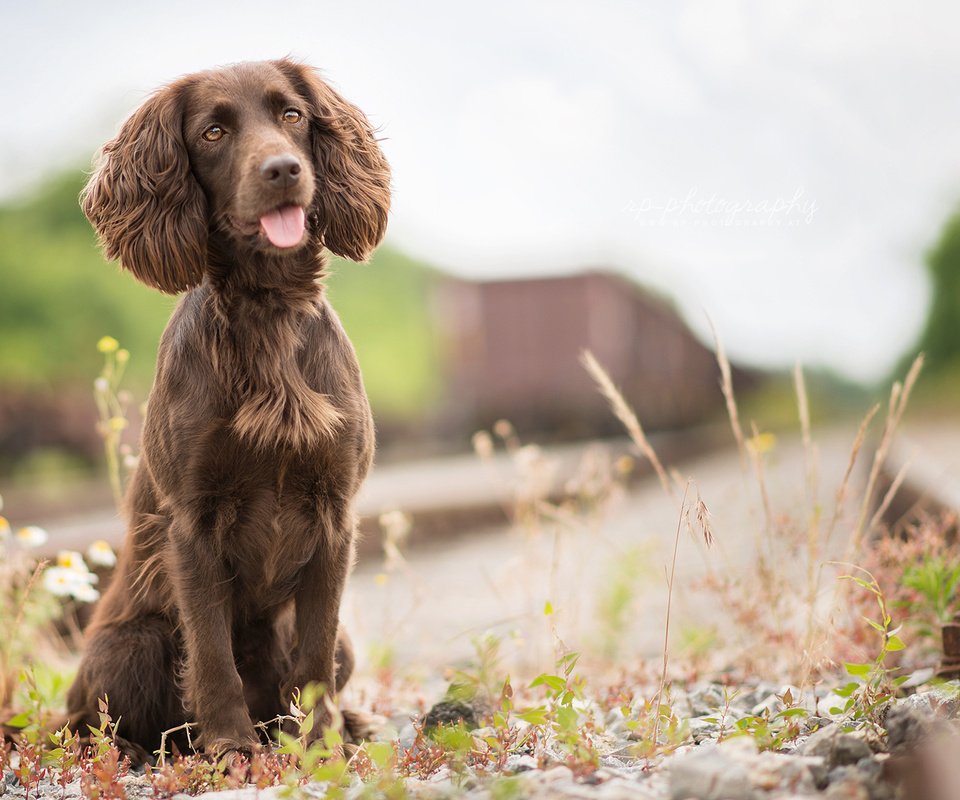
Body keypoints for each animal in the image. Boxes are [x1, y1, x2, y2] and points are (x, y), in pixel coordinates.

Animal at [66, 59, 390, 760]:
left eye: (292, 114)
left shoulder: (334, 515)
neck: (266, 308)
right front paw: (230, 748)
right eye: (213, 132)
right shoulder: (194, 522)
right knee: (90, 722)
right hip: (129, 644)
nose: (283, 170)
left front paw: (320, 745)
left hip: (347, 642)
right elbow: (212, 650)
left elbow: (315, 654)